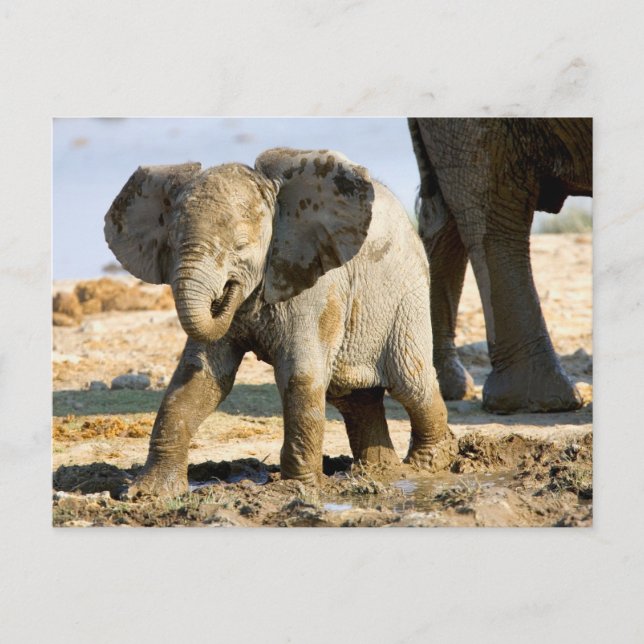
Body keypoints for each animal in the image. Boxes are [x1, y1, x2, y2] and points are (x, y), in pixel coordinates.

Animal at [104, 147, 454, 497]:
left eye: (241, 246)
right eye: (172, 244)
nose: (226, 292)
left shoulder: (314, 284)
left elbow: (300, 375)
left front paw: (297, 490)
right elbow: (199, 377)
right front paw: (147, 493)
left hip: (407, 296)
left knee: (410, 383)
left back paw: (427, 466)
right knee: (353, 398)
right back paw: (381, 472)